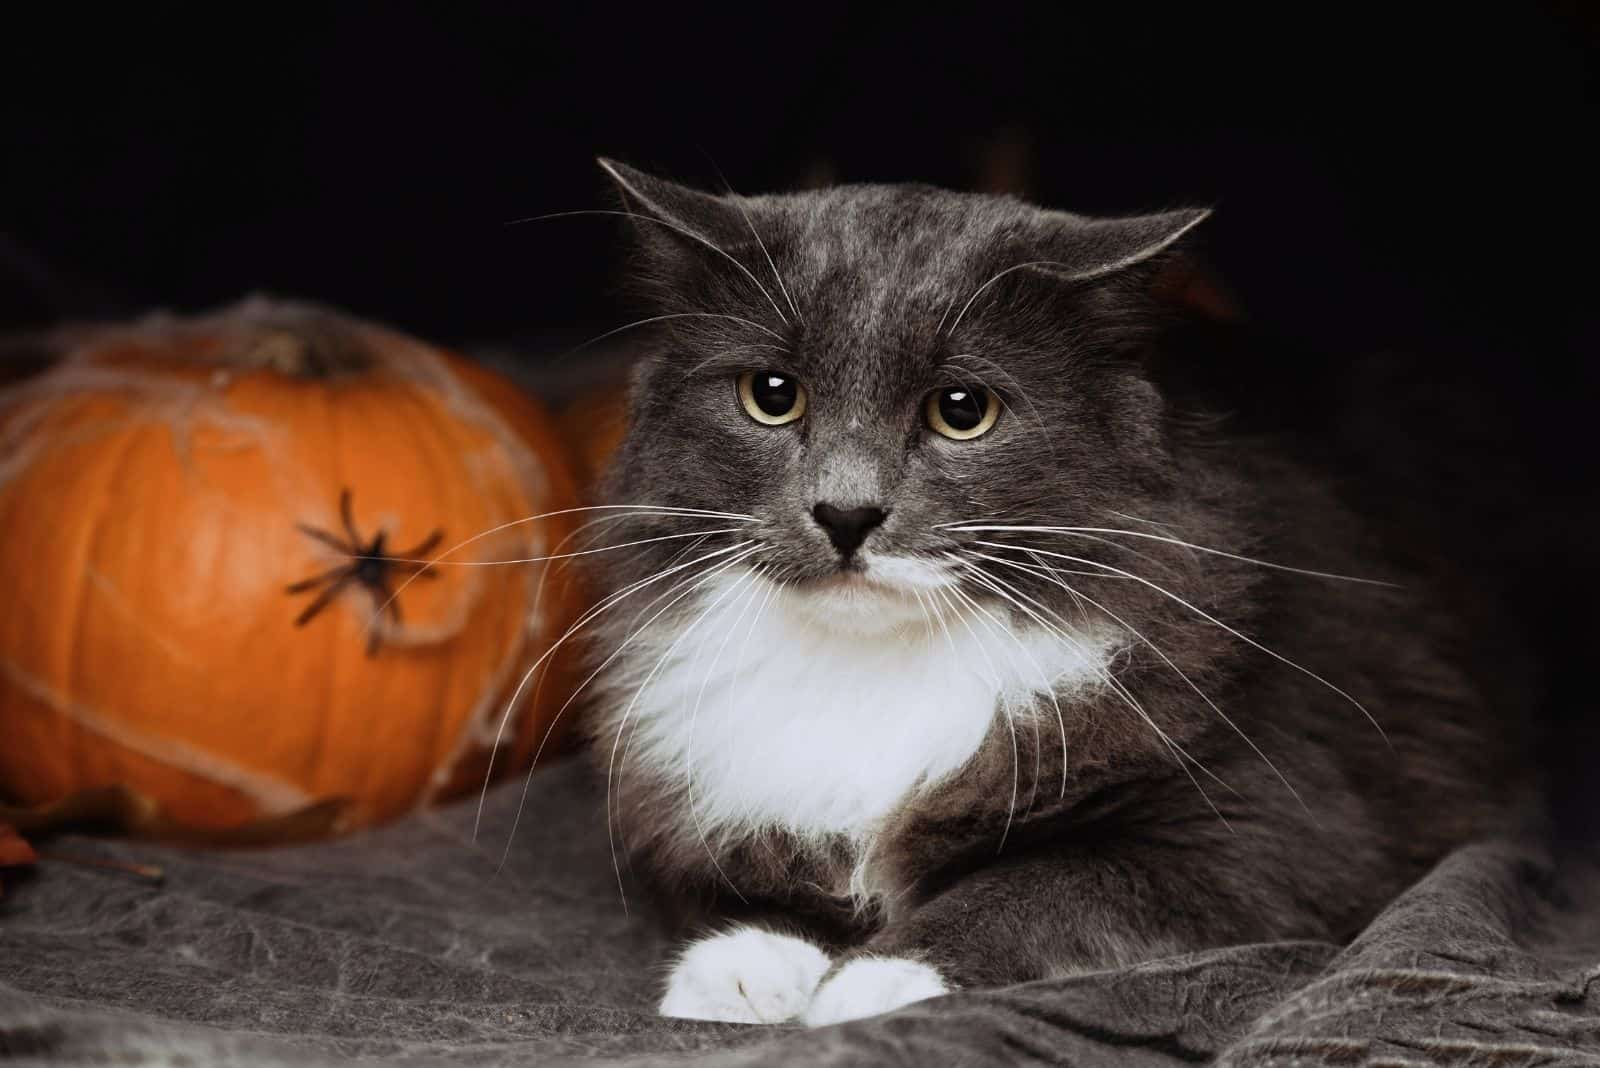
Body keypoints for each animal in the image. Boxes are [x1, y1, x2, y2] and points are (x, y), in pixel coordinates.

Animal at [579, 158, 1536, 1023]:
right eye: (771, 396)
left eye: (962, 410)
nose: (846, 513)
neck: (878, 666)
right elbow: (755, 883)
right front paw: (742, 970)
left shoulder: (1271, 829)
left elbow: (1039, 886)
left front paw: (875, 984)